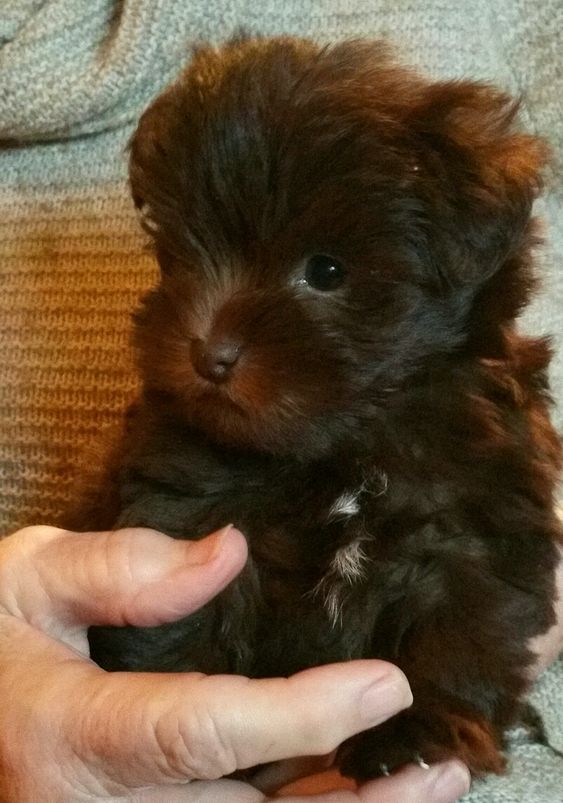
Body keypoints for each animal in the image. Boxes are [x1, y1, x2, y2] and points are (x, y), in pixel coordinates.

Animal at [80, 36, 563, 780]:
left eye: (327, 271)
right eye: (182, 255)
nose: (207, 353)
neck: (348, 442)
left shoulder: (474, 527)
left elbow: (457, 627)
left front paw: (416, 727)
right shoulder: (192, 510)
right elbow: (183, 619)